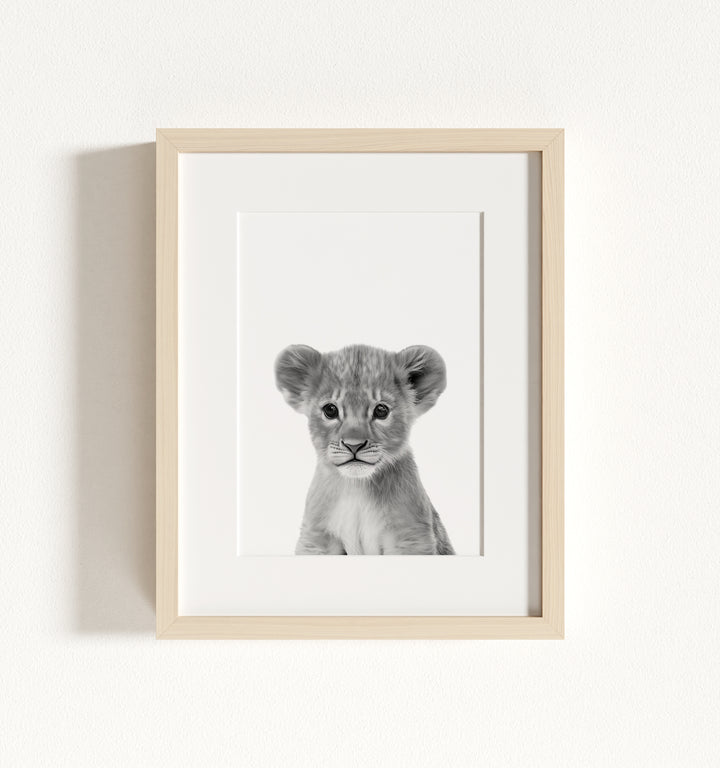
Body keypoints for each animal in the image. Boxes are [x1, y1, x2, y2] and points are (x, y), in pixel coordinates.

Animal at [274, 344, 455, 555]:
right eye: (330, 410)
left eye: (381, 411)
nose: (354, 445)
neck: (357, 488)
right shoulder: (316, 538)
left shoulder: (410, 536)